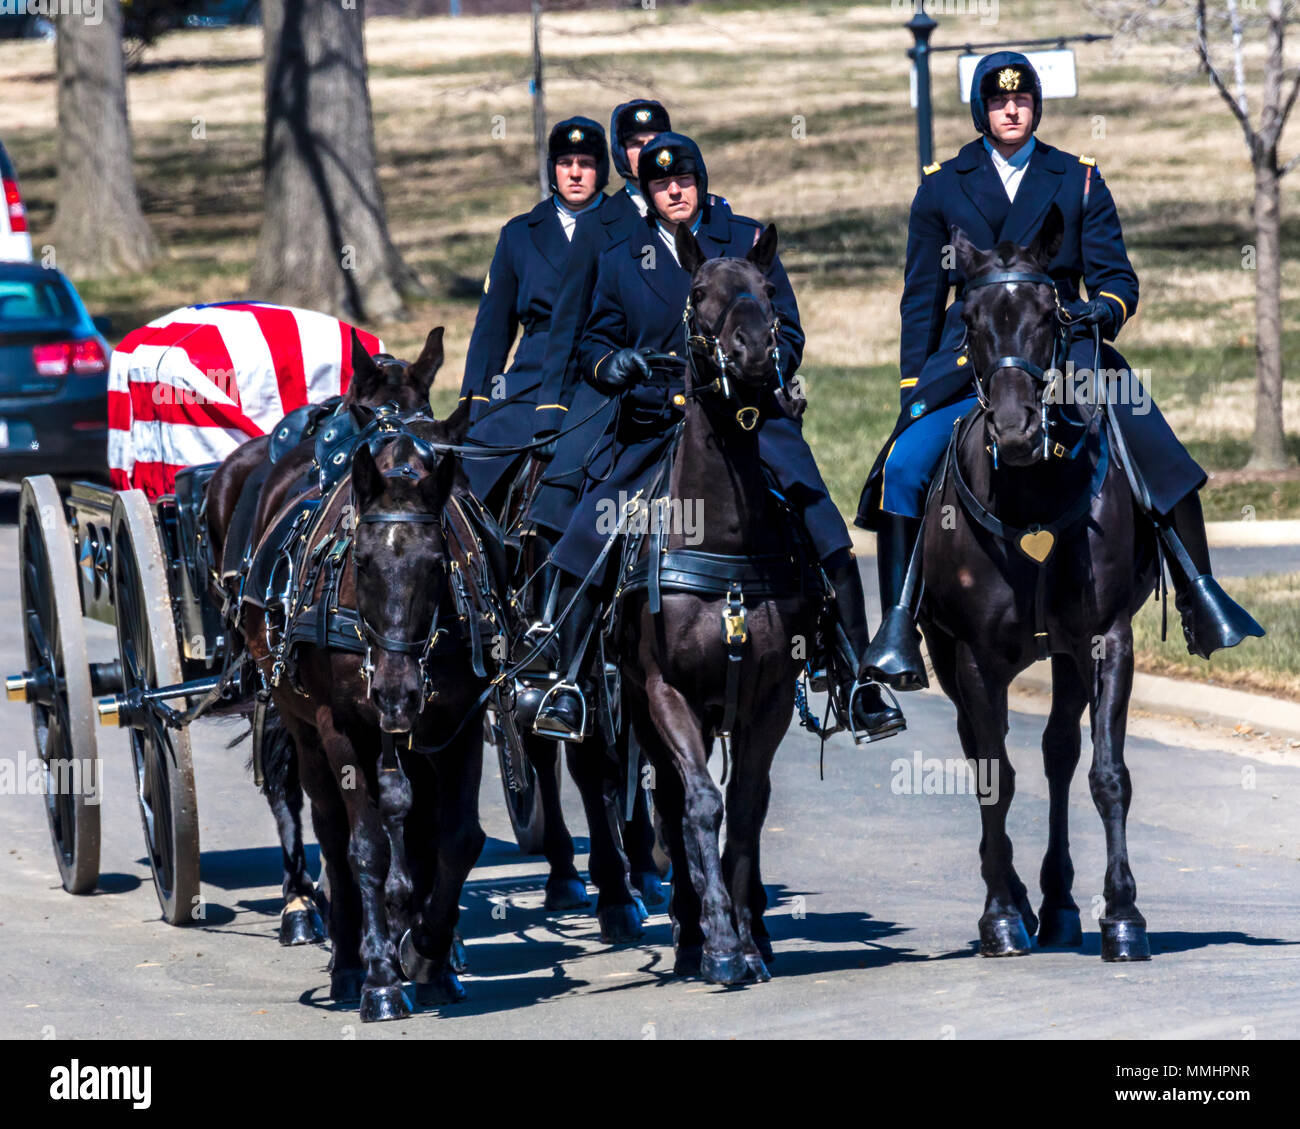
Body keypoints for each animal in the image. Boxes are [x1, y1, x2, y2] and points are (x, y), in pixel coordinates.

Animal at [909, 205, 1164, 962]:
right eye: (967, 320)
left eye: (1052, 316)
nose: (1019, 431)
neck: (1031, 496)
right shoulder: (971, 654)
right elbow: (995, 777)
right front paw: (998, 914)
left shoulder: (1106, 639)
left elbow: (1107, 773)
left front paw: (1123, 914)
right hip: (947, 656)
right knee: (984, 750)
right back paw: (1018, 900)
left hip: (1066, 653)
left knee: (1058, 753)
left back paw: (1056, 901)